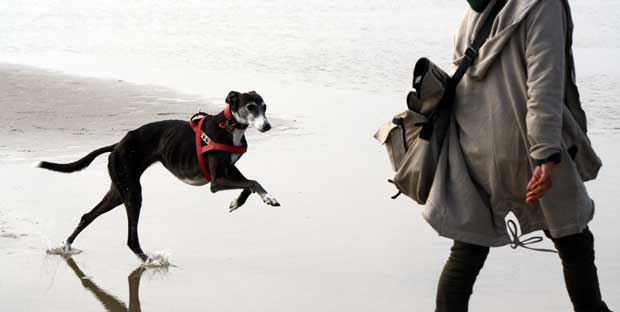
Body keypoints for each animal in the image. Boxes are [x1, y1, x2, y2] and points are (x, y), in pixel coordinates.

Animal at [37, 91, 280, 264]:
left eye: (264, 107)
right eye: (250, 106)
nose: (267, 126)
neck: (228, 127)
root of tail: (116, 145)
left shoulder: (229, 171)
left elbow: (249, 185)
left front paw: (237, 202)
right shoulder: (216, 182)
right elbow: (253, 182)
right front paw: (268, 198)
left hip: (119, 190)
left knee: (88, 215)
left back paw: (67, 245)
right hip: (133, 193)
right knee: (131, 238)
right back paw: (148, 260)